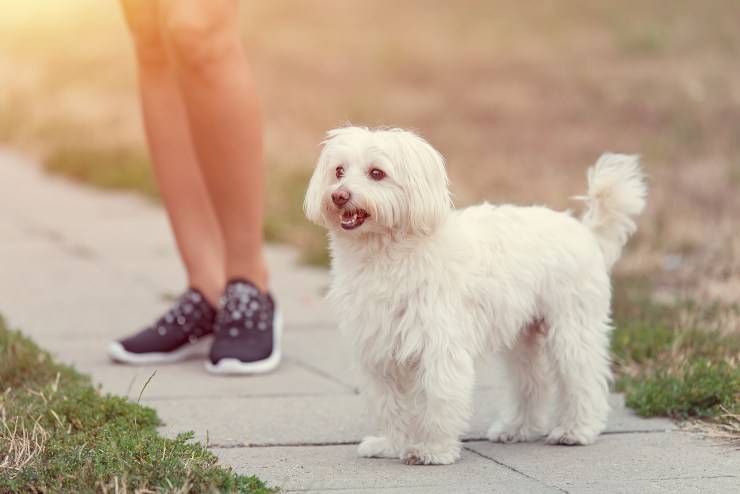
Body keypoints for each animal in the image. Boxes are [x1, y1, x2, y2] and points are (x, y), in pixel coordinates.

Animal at [304, 125, 644, 466]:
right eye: (338, 171)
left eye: (377, 173)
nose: (338, 195)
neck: (386, 253)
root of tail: (586, 232)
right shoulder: (378, 349)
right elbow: (388, 403)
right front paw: (391, 444)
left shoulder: (439, 345)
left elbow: (438, 397)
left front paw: (433, 450)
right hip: (521, 337)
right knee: (532, 382)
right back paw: (517, 428)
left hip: (572, 329)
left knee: (584, 379)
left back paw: (577, 430)